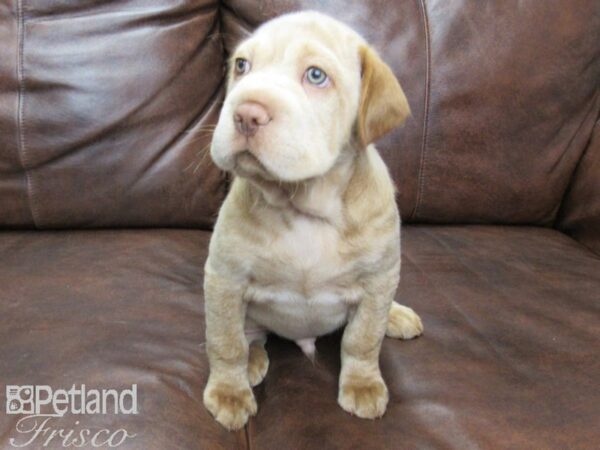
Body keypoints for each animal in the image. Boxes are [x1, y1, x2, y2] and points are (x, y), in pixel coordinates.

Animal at [202, 10, 422, 430]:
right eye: (242, 66)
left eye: (316, 75)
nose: (245, 114)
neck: (304, 207)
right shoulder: (225, 278)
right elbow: (226, 342)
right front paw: (229, 392)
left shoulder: (379, 278)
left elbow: (363, 339)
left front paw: (363, 384)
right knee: (250, 337)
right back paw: (253, 363)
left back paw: (397, 316)